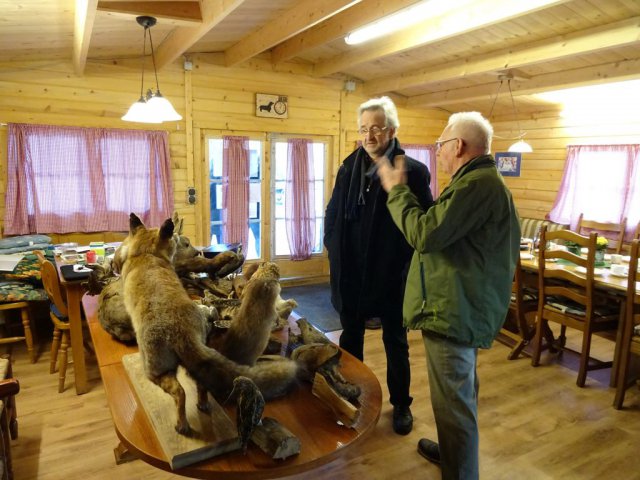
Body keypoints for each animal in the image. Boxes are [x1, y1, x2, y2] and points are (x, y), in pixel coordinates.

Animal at [119, 214, 298, 436]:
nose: (197, 251)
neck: (146, 255)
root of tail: (181, 331)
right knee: (201, 385)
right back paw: (203, 405)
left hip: (156, 372)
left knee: (180, 393)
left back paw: (182, 425)